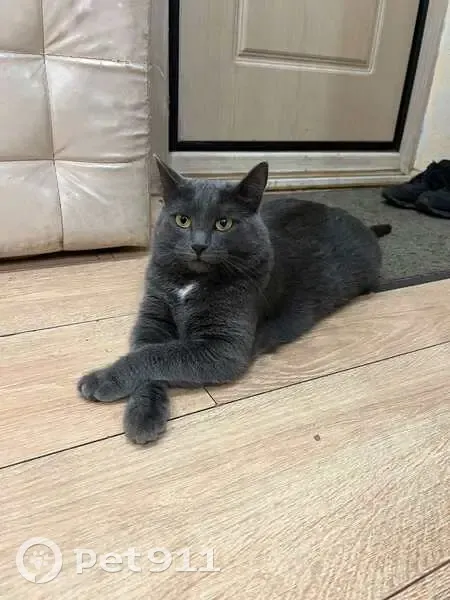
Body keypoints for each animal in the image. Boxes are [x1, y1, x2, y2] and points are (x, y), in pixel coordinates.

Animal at [78, 156, 391, 444]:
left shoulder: (224, 347)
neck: (190, 281)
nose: (199, 245)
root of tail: (361, 223)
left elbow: (157, 355)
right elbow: (147, 352)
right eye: (182, 220)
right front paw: (143, 414)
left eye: (223, 223)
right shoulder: (153, 318)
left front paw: (100, 380)